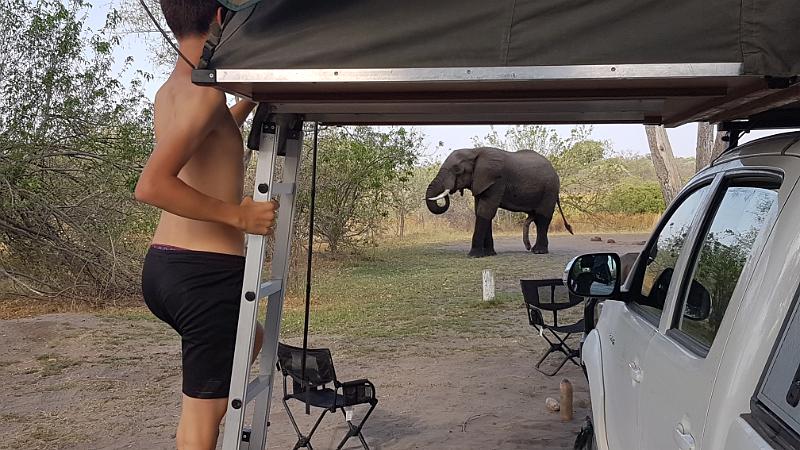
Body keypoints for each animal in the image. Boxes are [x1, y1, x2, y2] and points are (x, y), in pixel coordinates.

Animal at [424, 145, 568, 255]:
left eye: (457, 170)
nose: (448, 192)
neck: (474, 151)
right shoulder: (482, 182)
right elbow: (480, 212)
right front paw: (489, 254)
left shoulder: (496, 181)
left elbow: (485, 211)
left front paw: (474, 255)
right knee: (538, 219)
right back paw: (534, 249)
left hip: (550, 189)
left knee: (543, 217)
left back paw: (538, 251)